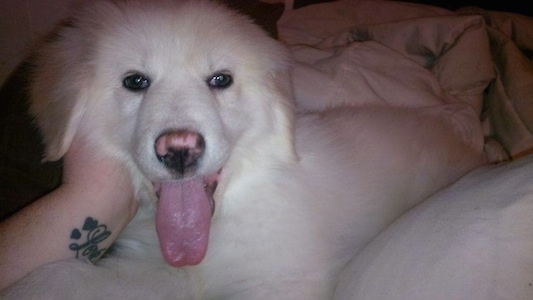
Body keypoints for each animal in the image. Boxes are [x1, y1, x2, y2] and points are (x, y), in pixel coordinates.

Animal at [2, 1, 486, 298]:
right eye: (135, 81)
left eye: (221, 80)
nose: (179, 150)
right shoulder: (153, 273)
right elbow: (64, 277)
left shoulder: (280, 279)